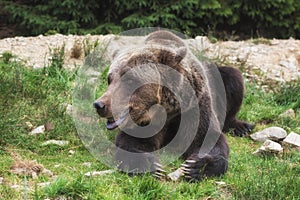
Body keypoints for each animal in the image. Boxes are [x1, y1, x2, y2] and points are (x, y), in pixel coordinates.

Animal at [93, 30, 253, 181]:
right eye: (109, 79)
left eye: (130, 80)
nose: (100, 105)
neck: (166, 110)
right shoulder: (144, 124)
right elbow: (131, 143)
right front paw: (152, 165)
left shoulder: (195, 108)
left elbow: (209, 139)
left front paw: (195, 167)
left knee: (234, 78)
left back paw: (241, 127)